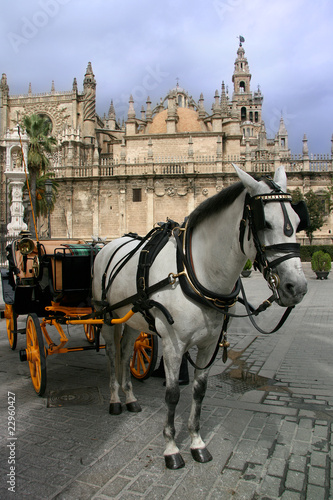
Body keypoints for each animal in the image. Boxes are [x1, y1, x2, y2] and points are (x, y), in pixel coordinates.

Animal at [91, 165, 306, 468]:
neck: (196, 271)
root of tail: (111, 244)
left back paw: (130, 398)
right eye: (265, 223)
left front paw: (196, 442)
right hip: (108, 316)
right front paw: (171, 448)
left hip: (132, 318)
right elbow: (172, 394)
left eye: (298, 222)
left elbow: (199, 391)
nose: (296, 287)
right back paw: (114, 400)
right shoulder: (172, 345)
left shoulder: (209, 344)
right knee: (112, 355)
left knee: (125, 352)